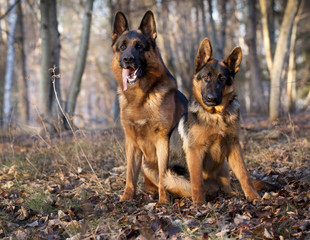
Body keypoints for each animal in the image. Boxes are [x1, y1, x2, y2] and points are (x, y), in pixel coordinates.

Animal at [111, 10, 186, 203]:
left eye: (139, 46)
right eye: (122, 47)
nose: (128, 59)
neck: (140, 97)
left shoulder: (162, 140)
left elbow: (162, 174)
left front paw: (163, 201)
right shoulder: (131, 143)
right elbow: (130, 175)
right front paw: (126, 199)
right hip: (145, 165)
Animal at [163, 38, 260, 203]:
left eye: (222, 79)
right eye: (206, 78)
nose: (211, 99)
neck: (216, 116)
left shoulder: (234, 146)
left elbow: (244, 174)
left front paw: (254, 197)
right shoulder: (195, 151)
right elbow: (197, 181)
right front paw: (199, 204)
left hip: (224, 166)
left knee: (226, 185)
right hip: (172, 176)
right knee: (189, 187)